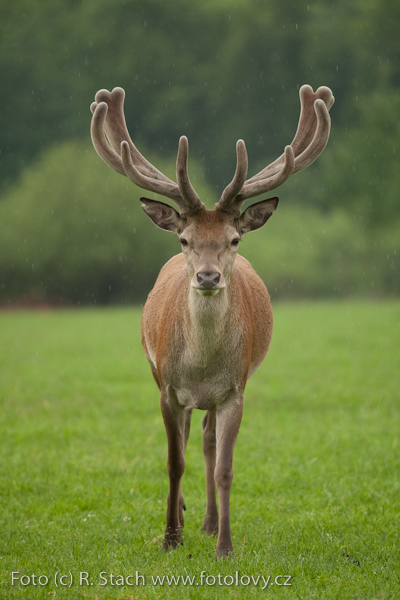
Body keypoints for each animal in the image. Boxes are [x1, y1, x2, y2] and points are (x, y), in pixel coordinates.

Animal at [90, 84, 334, 556]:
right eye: (185, 239)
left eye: (234, 239)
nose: (207, 276)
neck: (201, 366)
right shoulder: (167, 387)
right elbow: (173, 462)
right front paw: (169, 537)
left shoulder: (235, 390)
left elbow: (224, 467)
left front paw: (225, 545)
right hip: (157, 372)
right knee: (187, 440)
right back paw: (184, 519)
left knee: (205, 438)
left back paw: (207, 521)